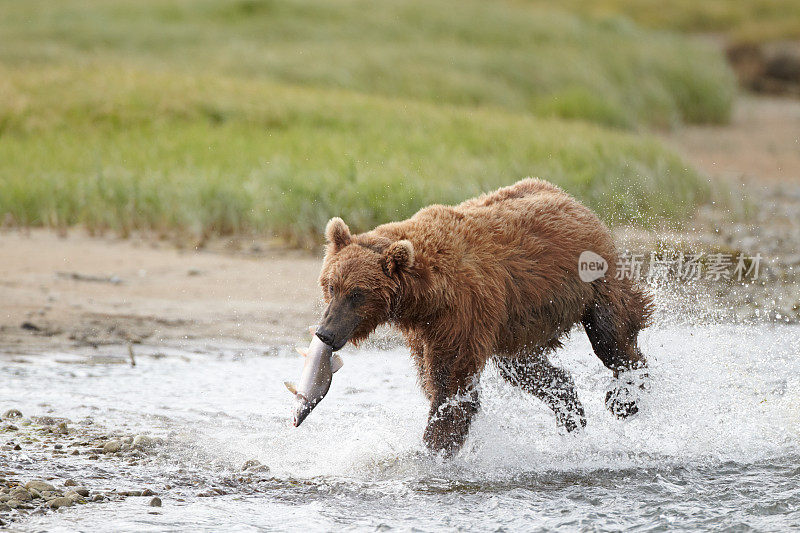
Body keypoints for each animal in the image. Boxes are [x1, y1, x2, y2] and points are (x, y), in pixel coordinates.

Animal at [316, 179, 652, 454]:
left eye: (357, 293)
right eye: (332, 286)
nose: (325, 333)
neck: (426, 296)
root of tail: (571, 200)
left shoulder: (460, 315)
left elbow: (451, 385)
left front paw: (434, 447)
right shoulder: (426, 330)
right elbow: (434, 379)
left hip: (594, 284)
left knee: (613, 336)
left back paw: (626, 398)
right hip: (519, 321)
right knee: (526, 369)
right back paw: (572, 418)